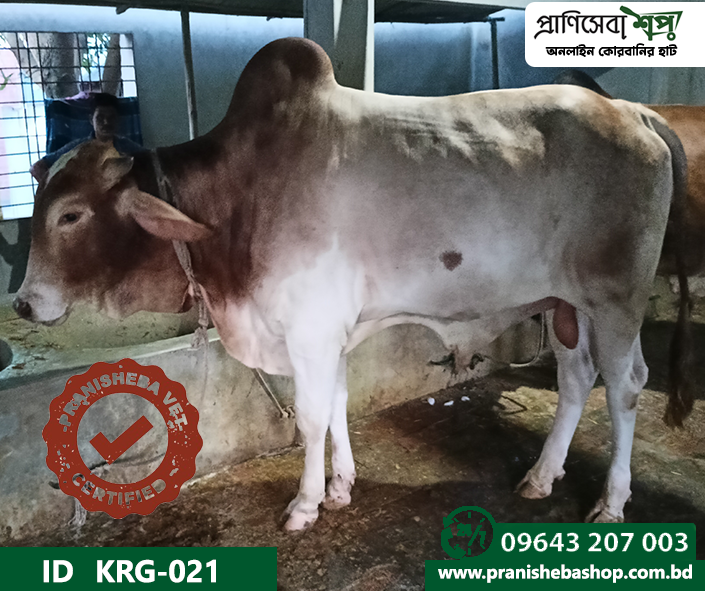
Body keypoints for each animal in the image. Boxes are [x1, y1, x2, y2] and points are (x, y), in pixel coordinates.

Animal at [15, 38, 692, 530]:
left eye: (71, 214)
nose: (23, 303)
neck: (236, 201)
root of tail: (632, 112)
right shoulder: (331, 332)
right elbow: (338, 403)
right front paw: (340, 486)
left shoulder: (309, 330)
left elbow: (313, 415)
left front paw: (305, 504)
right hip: (565, 304)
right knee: (576, 377)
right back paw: (541, 476)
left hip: (616, 299)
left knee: (626, 385)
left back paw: (611, 501)